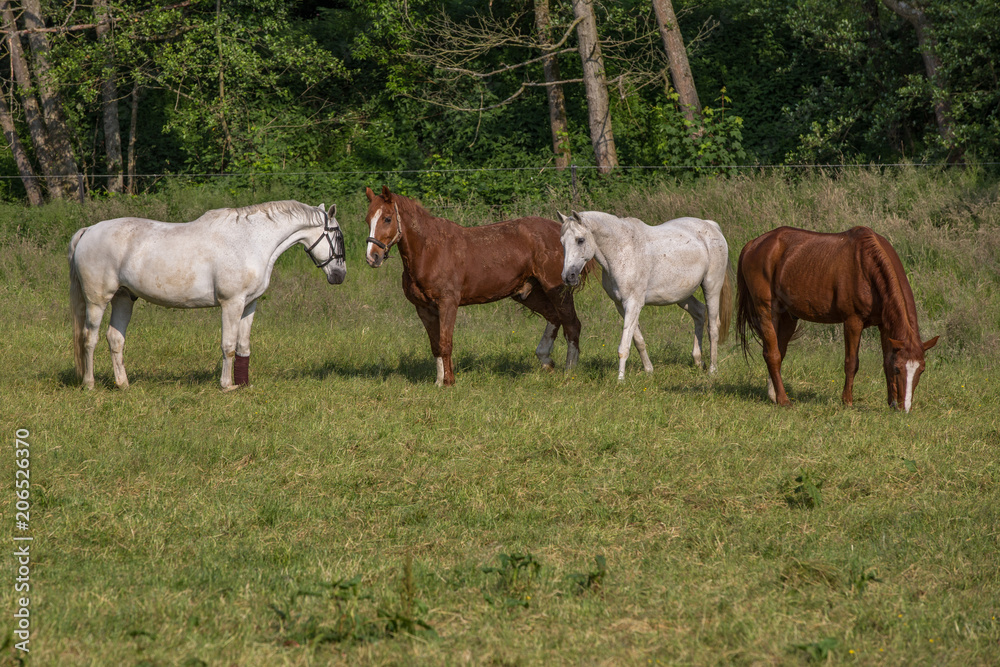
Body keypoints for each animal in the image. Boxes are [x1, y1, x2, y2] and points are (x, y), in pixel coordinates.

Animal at [68, 204, 346, 392]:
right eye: (339, 236)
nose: (339, 275)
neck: (251, 240)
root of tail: (88, 230)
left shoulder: (249, 304)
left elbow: (243, 346)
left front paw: (243, 385)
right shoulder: (231, 303)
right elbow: (228, 345)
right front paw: (226, 385)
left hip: (124, 298)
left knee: (115, 339)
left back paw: (123, 384)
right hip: (98, 301)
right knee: (89, 338)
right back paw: (89, 383)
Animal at [364, 187, 588, 386]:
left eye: (387, 218)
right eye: (368, 220)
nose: (372, 257)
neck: (430, 250)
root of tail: (558, 231)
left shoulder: (448, 304)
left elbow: (445, 343)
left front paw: (449, 382)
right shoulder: (424, 308)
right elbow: (435, 345)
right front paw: (438, 382)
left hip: (557, 289)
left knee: (572, 324)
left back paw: (570, 371)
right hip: (529, 293)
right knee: (555, 317)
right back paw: (546, 360)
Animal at [556, 214, 736, 380]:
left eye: (580, 240)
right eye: (562, 242)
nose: (568, 277)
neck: (622, 250)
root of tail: (710, 226)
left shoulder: (632, 304)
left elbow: (624, 346)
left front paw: (620, 380)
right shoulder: (621, 306)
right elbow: (638, 340)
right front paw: (649, 370)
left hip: (711, 288)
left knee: (713, 327)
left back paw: (712, 370)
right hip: (682, 296)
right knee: (699, 313)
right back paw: (698, 361)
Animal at [736, 227, 936, 410]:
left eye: (921, 370)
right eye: (898, 369)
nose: (904, 408)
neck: (867, 266)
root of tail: (753, 244)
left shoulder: (885, 326)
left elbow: (886, 360)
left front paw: (891, 402)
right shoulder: (853, 322)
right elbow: (852, 362)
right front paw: (847, 401)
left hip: (787, 318)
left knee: (778, 351)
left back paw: (774, 395)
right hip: (767, 313)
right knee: (773, 355)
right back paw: (784, 400)